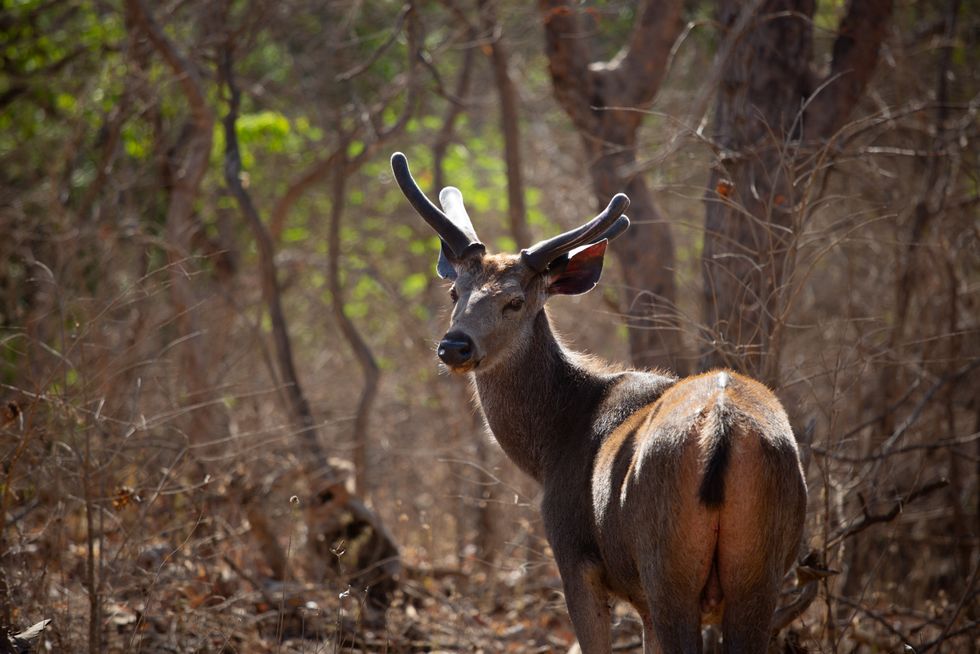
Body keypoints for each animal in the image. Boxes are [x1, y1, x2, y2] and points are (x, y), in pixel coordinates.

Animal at [390, 152, 807, 654]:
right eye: (455, 292)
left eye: (515, 301)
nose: (454, 346)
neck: (551, 447)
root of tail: (722, 431)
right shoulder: (641, 598)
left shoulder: (574, 556)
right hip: (758, 570)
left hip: (667, 568)